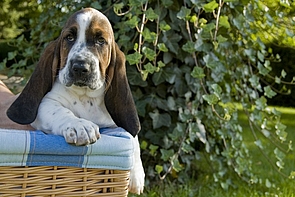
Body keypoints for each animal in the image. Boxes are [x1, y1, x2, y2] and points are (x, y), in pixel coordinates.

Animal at [6, 7, 145, 194]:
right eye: (69, 38)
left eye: (101, 40)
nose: (80, 67)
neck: (85, 96)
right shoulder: (45, 104)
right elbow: (62, 112)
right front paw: (80, 126)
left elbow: (132, 134)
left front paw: (137, 174)